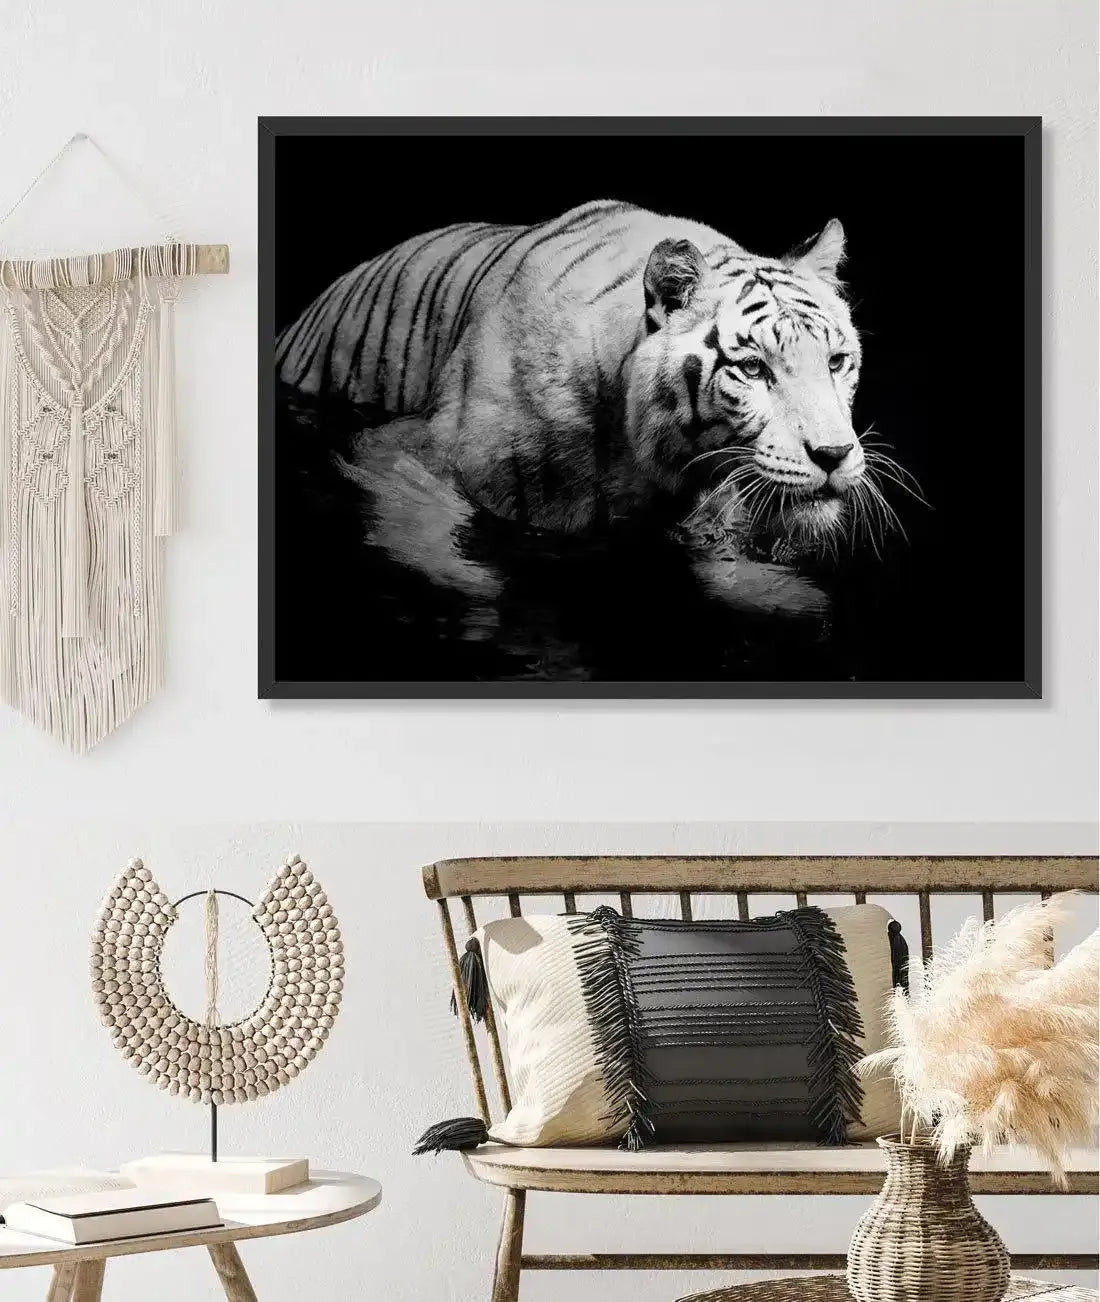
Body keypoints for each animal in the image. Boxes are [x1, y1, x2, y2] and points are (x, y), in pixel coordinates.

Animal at [276, 199, 878, 618]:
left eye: (836, 362)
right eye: (753, 369)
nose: (833, 454)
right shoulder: (397, 451)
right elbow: (423, 526)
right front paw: (475, 591)